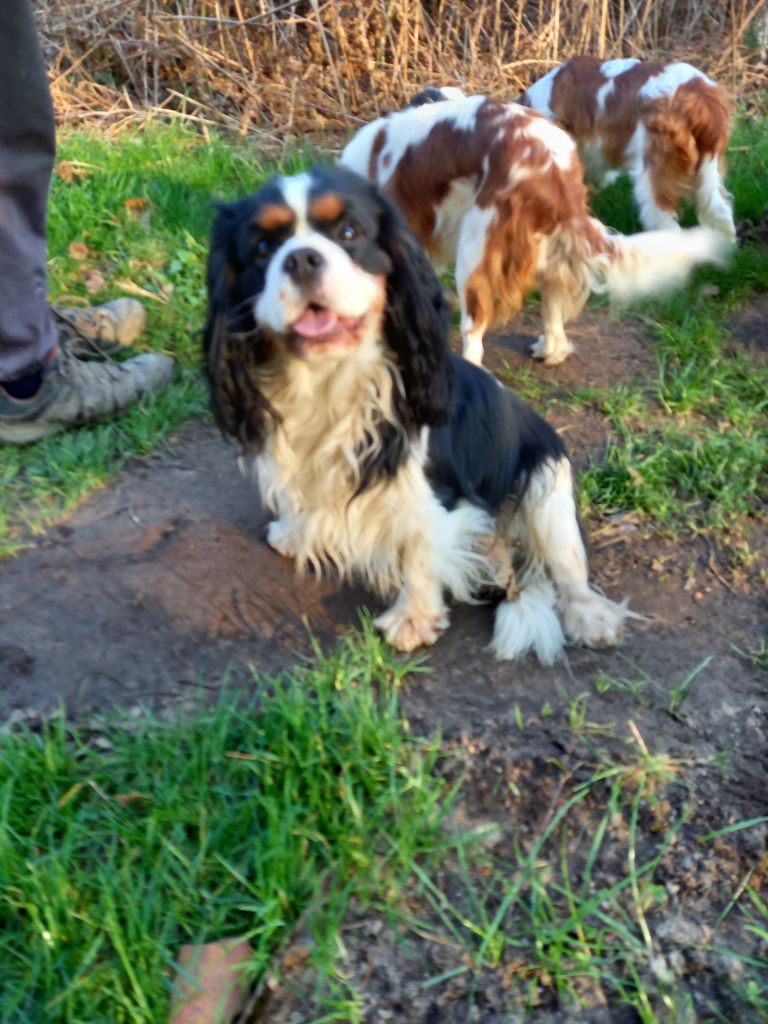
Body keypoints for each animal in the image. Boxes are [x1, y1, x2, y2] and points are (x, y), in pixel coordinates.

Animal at [203, 165, 634, 664]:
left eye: (349, 233)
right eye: (262, 248)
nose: (302, 259)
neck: (330, 378)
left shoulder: (431, 490)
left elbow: (420, 548)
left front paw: (414, 619)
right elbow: (303, 500)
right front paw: (295, 532)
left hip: (548, 484)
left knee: (567, 564)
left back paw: (589, 617)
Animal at [340, 91, 727, 366]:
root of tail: (554, 170)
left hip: (475, 253)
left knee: (474, 331)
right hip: (550, 250)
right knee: (553, 312)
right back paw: (549, 351)